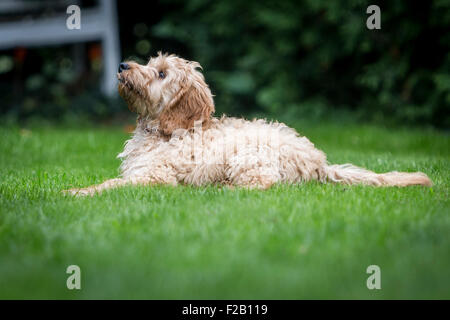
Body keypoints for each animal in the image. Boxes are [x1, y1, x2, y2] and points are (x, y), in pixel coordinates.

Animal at [64, 53, 432, 195]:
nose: (123, 66)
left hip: (249, 158)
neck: (166, 131)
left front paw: (74, 193)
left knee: (265, 185)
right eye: (151, 63)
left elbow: (109, 186)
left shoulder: (154, 178)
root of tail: (320, 164)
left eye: (162, 73)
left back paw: (220, 190)